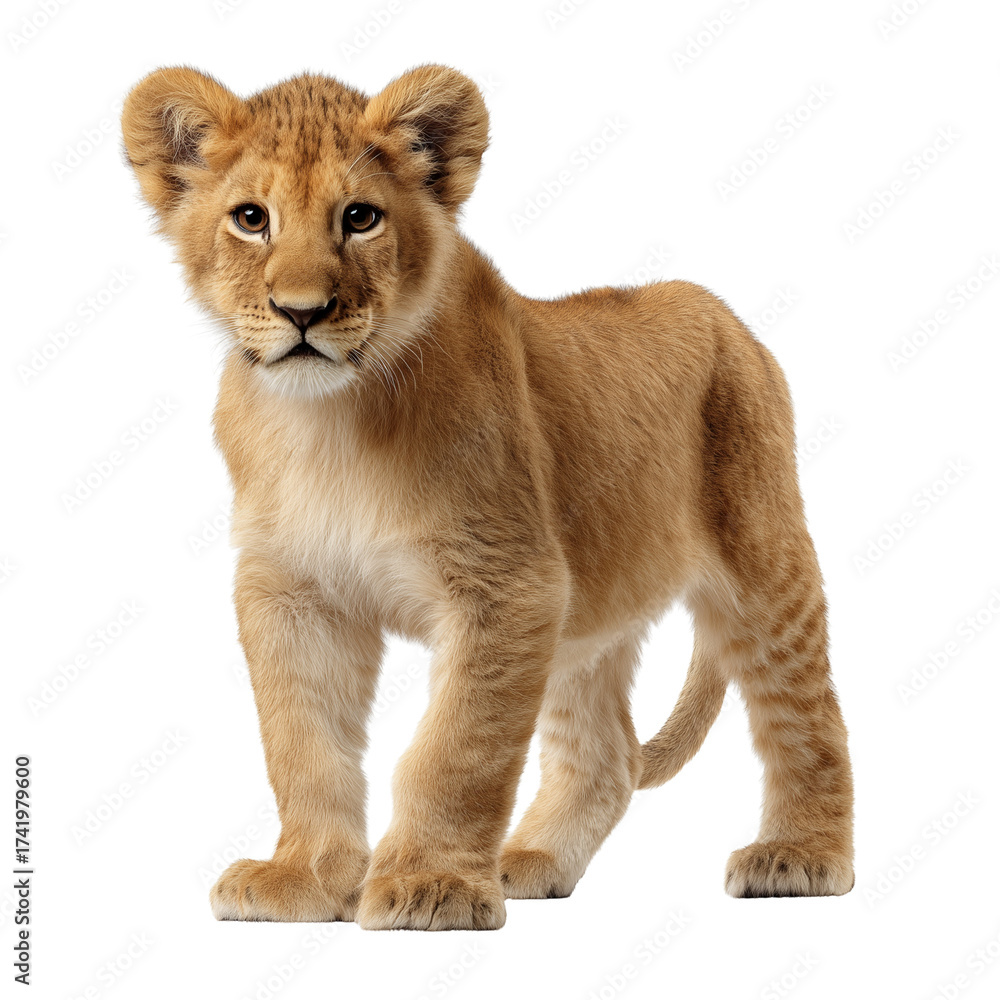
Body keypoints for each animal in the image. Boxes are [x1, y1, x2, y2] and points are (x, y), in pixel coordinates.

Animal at [121, 64, 854, 930]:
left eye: (360, 218)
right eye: (250, 219)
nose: (303, 312)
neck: (327, 423)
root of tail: (728, 315)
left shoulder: (508, 584)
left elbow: (455, 750)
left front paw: (429, 885)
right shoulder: (293, 592)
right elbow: (303, 745)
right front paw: (304, 876)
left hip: (763, 559)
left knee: (805, 710)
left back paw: (800, 856)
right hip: (589, 613)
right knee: (604, 754)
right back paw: (527, 862)